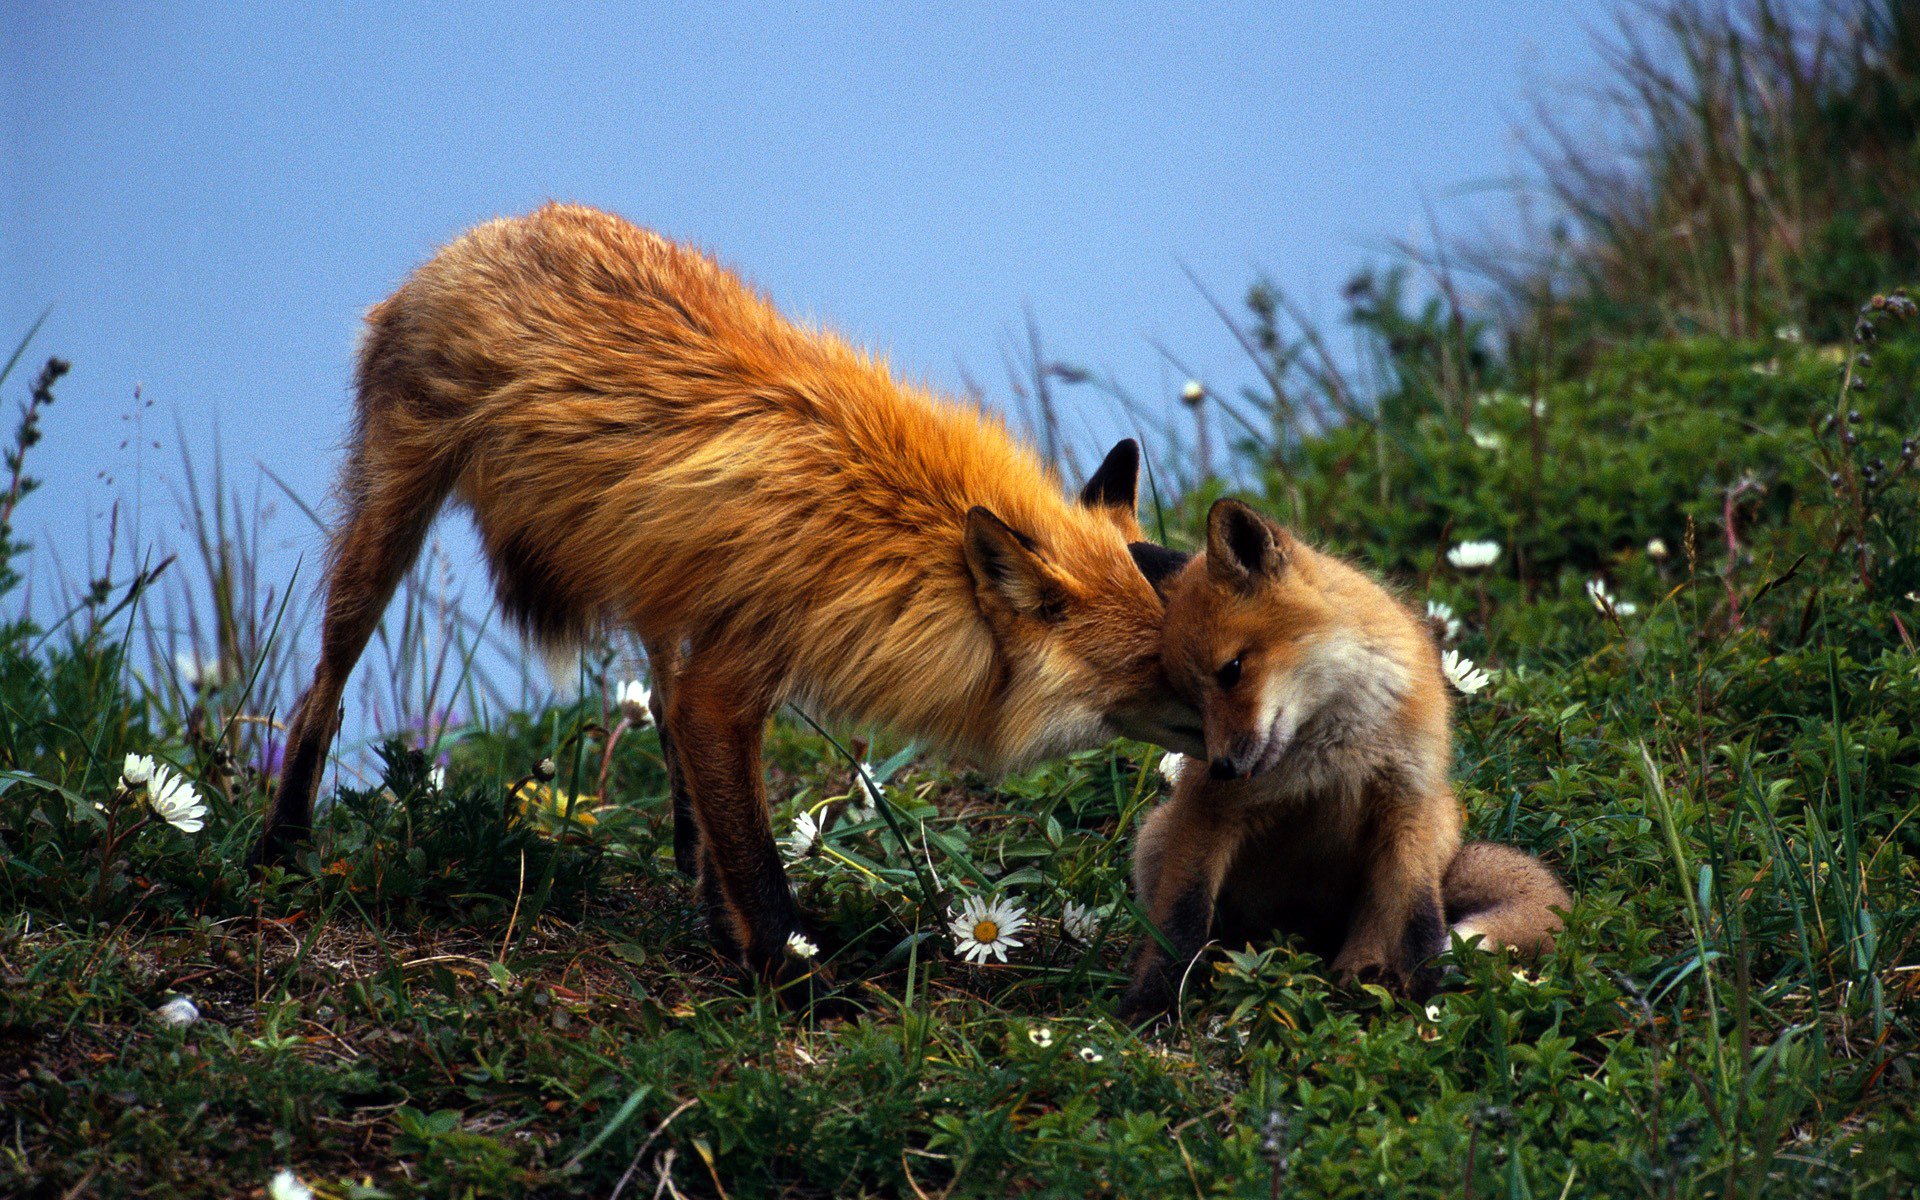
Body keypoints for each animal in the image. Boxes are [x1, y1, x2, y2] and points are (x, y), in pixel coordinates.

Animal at [255, 203, 1205, 982]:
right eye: (1161, 669)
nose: (1244, 738)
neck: (889, 532)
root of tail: (485, 231)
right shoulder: (732, 680)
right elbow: (758, 864)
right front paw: (797, 982)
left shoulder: (724, 657)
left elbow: (723, 808)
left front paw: (734, 929)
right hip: (388, 529)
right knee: (319, 695)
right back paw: (282, 847)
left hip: (653, 582)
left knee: (661, 710)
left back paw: (689, 859)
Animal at [1119, 498, 1569, 1020]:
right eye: (1190, 700)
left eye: (1231, 671)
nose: (1222, 768)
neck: (1333, 745)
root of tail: (1303, 936)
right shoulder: (1208, 812)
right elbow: (1180, 920)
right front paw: (1150, 1002)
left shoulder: (1408, 801)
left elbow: (1419, 921)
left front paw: (1426, 994)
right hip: (1156, 838)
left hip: (1433, 827)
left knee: (1380, 923)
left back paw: (1361, 977)